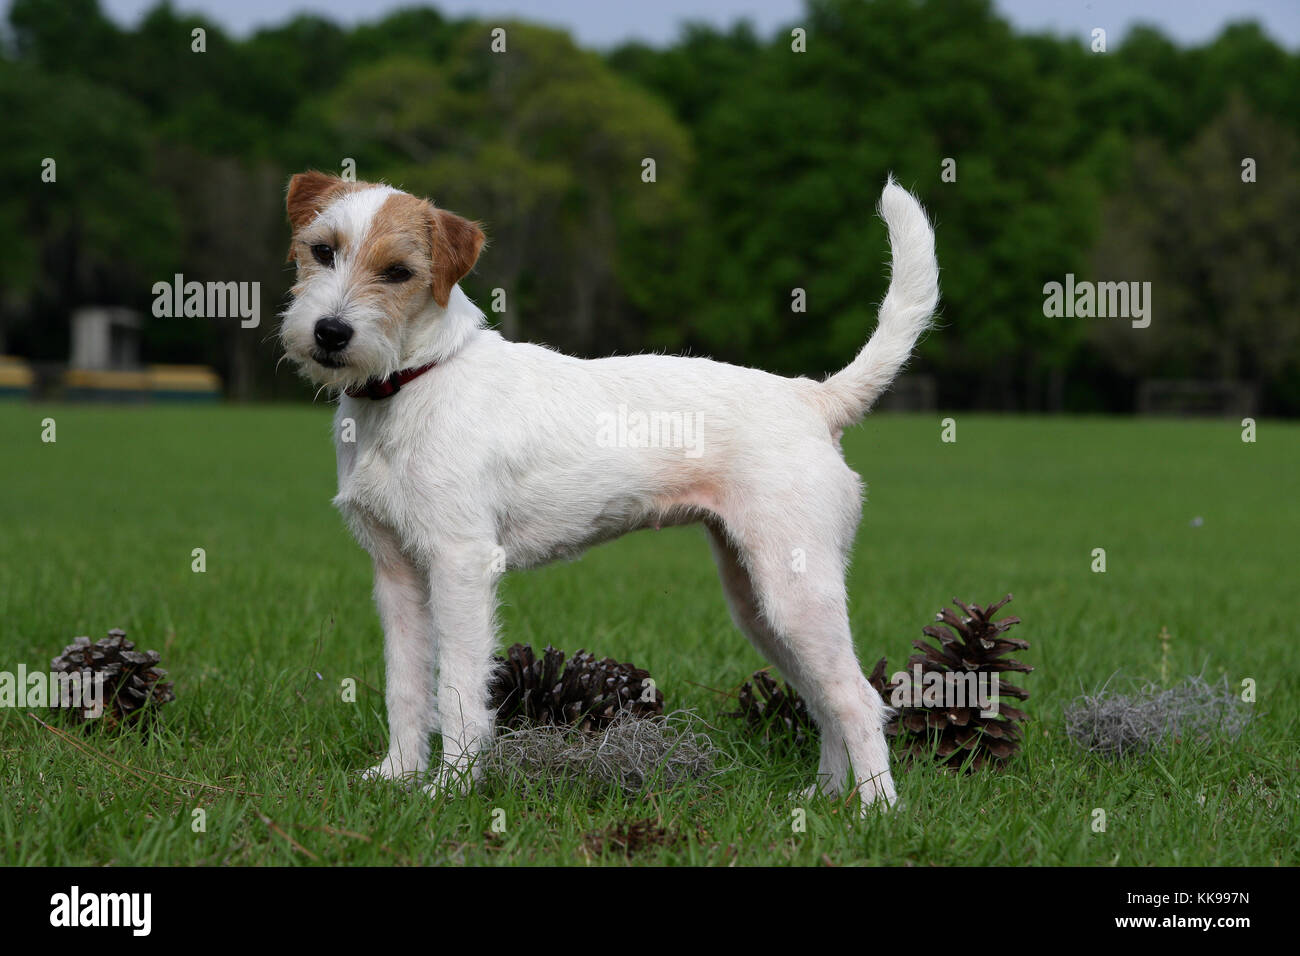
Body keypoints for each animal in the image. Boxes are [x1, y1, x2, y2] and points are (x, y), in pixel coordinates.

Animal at [279, 170, 941, 806]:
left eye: (399, 272)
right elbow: (407, 688)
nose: (330, 332)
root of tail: (815, 397)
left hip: (795, 593)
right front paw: (396, 776)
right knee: (823, 698)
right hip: (760, 603)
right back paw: (828, 796)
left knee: (857, 698)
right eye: (322, 250)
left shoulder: (459, 564)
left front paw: (452, 789)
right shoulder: (396, 572)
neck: (415, 378)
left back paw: (876, 812)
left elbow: (460, 690)